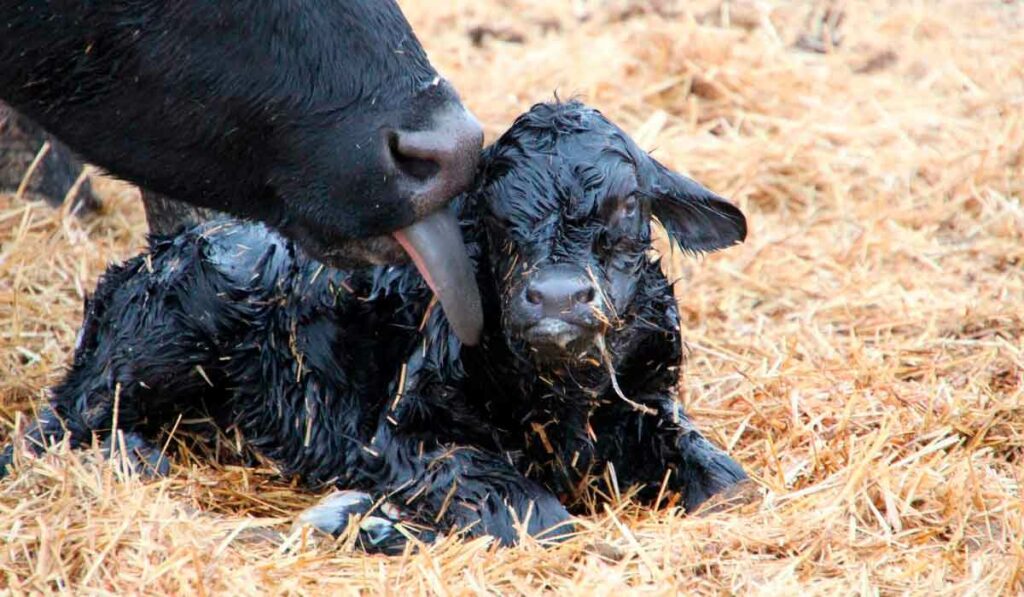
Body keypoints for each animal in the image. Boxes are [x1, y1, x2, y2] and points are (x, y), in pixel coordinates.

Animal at [2, 100, 753, 552]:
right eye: (492, 212)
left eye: (628, 206)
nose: (560, 298)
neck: (562, 401)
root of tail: (166, 248)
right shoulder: (401, 434)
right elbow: (540, 517)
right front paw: (365, 518)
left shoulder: (652, 404)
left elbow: (731, 485)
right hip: (151, 350)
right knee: (49, 433)